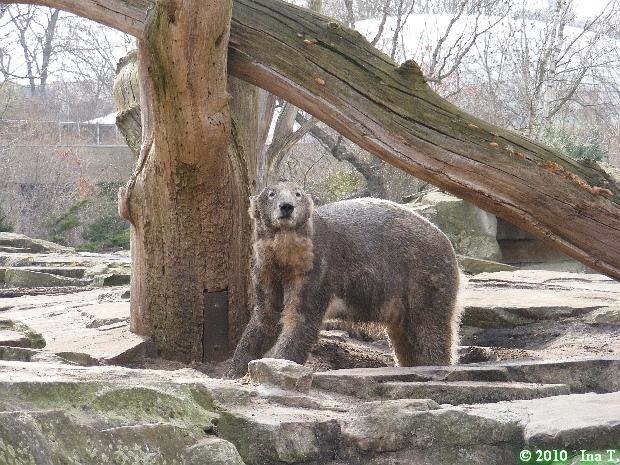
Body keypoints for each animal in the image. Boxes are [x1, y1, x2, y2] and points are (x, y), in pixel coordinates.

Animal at [225, 181, 461, 378]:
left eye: (297, 193)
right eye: (271, 193)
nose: (286, 207)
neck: (288, 254)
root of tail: (445, 239)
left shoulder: (315, 267)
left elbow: (300, 319)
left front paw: (279, 365)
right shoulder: (266, 268)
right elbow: (266, 315)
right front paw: (234, 371)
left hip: (422, 272)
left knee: (429, 327)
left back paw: (434, 364)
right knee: (403, 336)